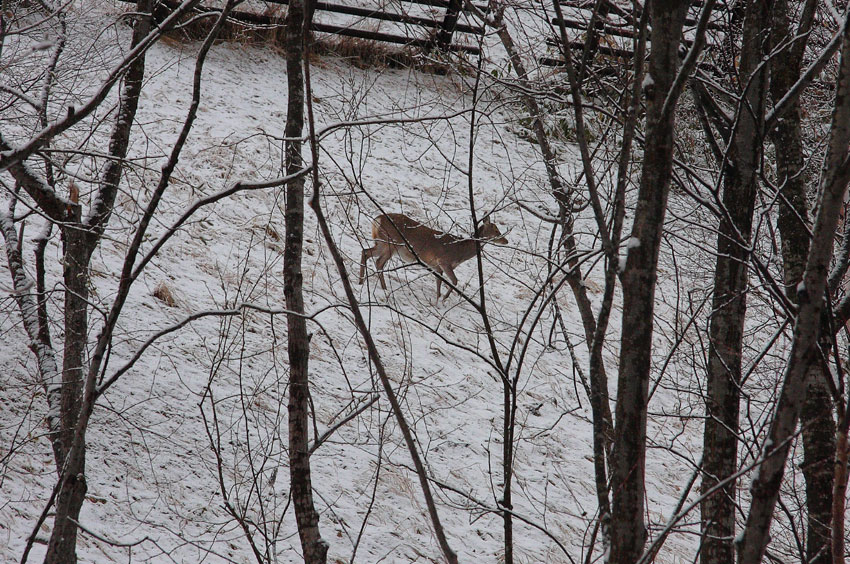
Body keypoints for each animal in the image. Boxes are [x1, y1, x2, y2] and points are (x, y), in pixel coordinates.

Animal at [356, 212, 506, 300]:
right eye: (496, 230)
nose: (506, 240)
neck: (459, 252)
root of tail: (377, 220)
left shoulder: (436, 266)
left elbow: (439, 281)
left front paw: (438, 299)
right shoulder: (444, 261)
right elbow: (455, 281)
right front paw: (444, 299)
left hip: (381, 242)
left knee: (365, 252)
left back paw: (361, 282)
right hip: (391, 243)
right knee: (379, 262)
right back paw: (384, 288)